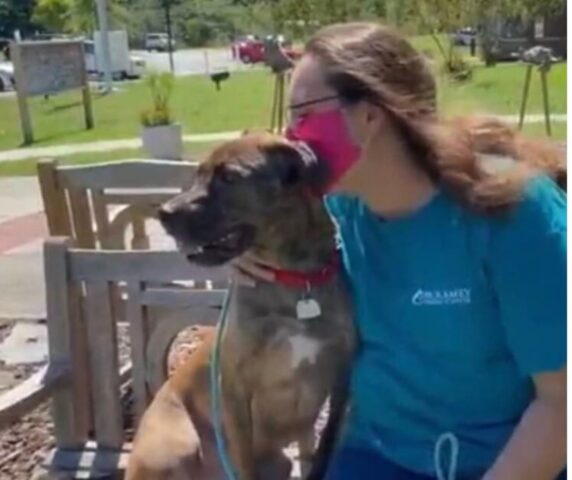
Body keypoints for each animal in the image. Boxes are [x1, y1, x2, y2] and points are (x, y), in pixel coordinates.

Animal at [127, 132, 356, 480]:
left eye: (229, 177)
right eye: (198, 174)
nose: (164, 212)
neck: (293, 279)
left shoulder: (341, 380)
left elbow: (324, 448)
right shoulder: (234, 387)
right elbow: (244, 461)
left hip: (279, 461)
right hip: (174, 447)